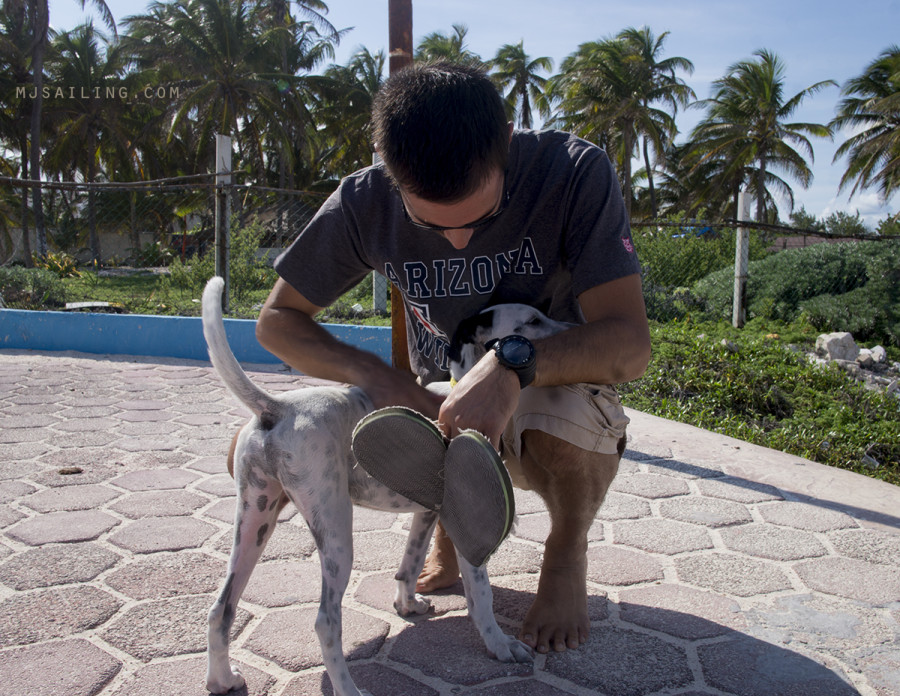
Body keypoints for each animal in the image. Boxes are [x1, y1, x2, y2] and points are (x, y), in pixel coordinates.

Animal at [203, 276, 568, 696]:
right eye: (532, 321)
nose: (574, 328)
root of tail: (276, 408)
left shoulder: (429, 512)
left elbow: (410, 563)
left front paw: (407, 605)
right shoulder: (472, 525)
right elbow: (481, 595)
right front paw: (501, 645)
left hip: (254, 518)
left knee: (221, 608)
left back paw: (221, 679)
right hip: (335, 532)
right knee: (325, 621)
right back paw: (348, 689)